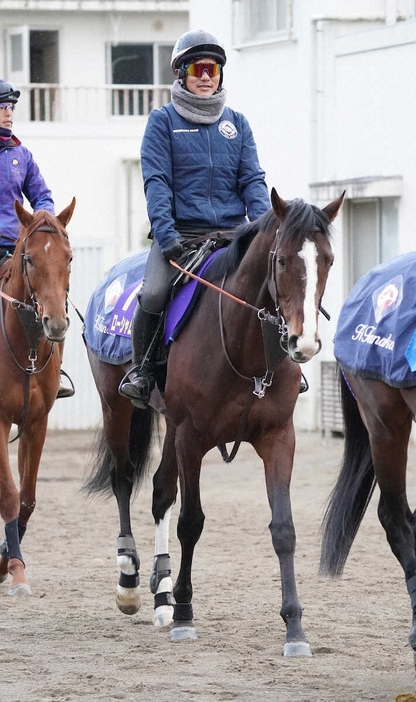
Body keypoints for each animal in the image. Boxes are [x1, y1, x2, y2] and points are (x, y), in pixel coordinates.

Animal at [84, 190, 344, 656]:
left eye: (328, 260)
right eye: (282, 261)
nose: (305, 342)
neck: (245, 349)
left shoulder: (279, 438)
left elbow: (284, 529)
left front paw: (294, 628)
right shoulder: (192, 437)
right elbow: (191, 522)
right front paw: (186, 614)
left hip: (167, 424)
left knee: (160, 493)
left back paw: (161, 594)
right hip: (117, 406)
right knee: (123, 479)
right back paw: (130, 581)